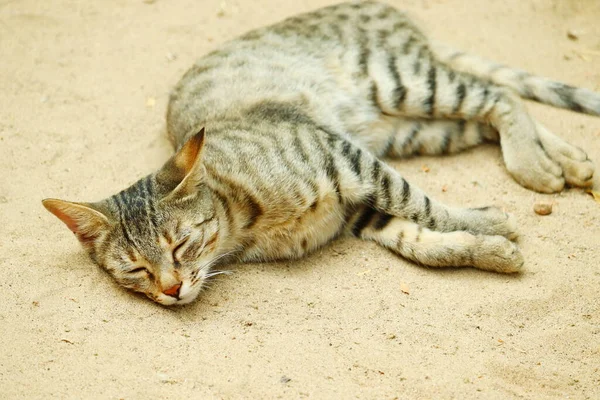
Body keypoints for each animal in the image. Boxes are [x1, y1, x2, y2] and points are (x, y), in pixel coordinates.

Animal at [41, 1, 596, 304]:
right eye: (135, 270)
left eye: (180, 246)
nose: (171, 289)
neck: (242, 224)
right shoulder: (359, 209)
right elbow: (424, 241)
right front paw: (488, 249)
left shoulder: (347, 159)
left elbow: (422, 204)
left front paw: (491, 222)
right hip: (416, 129)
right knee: (486, 117)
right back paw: (567, 161)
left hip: (399, 81)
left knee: (496, 94)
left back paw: (535, 166)